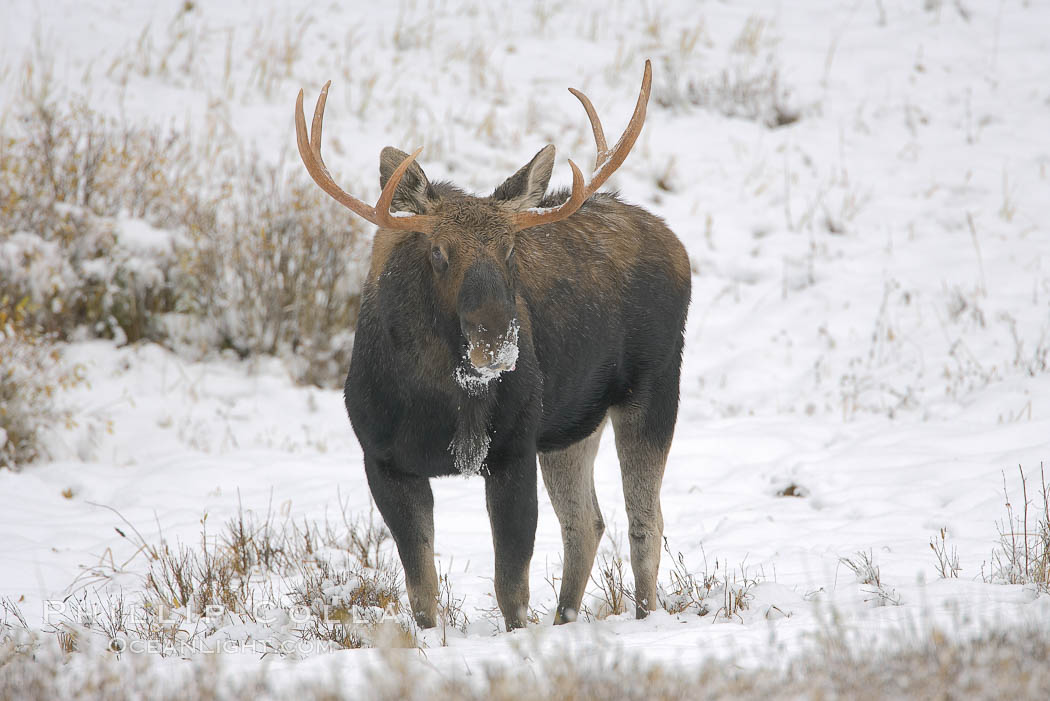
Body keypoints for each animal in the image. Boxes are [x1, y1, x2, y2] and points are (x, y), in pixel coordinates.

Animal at [296, 60, 688, 629]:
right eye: (438, 251)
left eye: (510, 247)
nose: (497, 344)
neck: (439, 399)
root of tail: (675, 242)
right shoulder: (383, 460)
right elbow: (422, 594)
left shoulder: (512, 449)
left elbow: (512, 590)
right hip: (571, 425)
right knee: (586, 523)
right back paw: (566, 618)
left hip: (654, 388)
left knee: (644, 522)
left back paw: (643, 620)